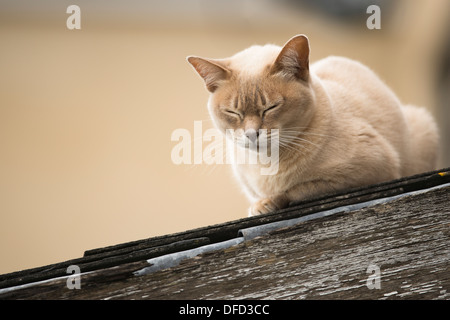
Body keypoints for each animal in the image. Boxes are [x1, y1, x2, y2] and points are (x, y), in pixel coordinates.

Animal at [186, 34, 440, 215]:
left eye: (271, 108)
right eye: (232, 112)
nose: (251, 134)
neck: (266, 163)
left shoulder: (369, 170)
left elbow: (296, 190)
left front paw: (268, 202)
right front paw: (260, 204)